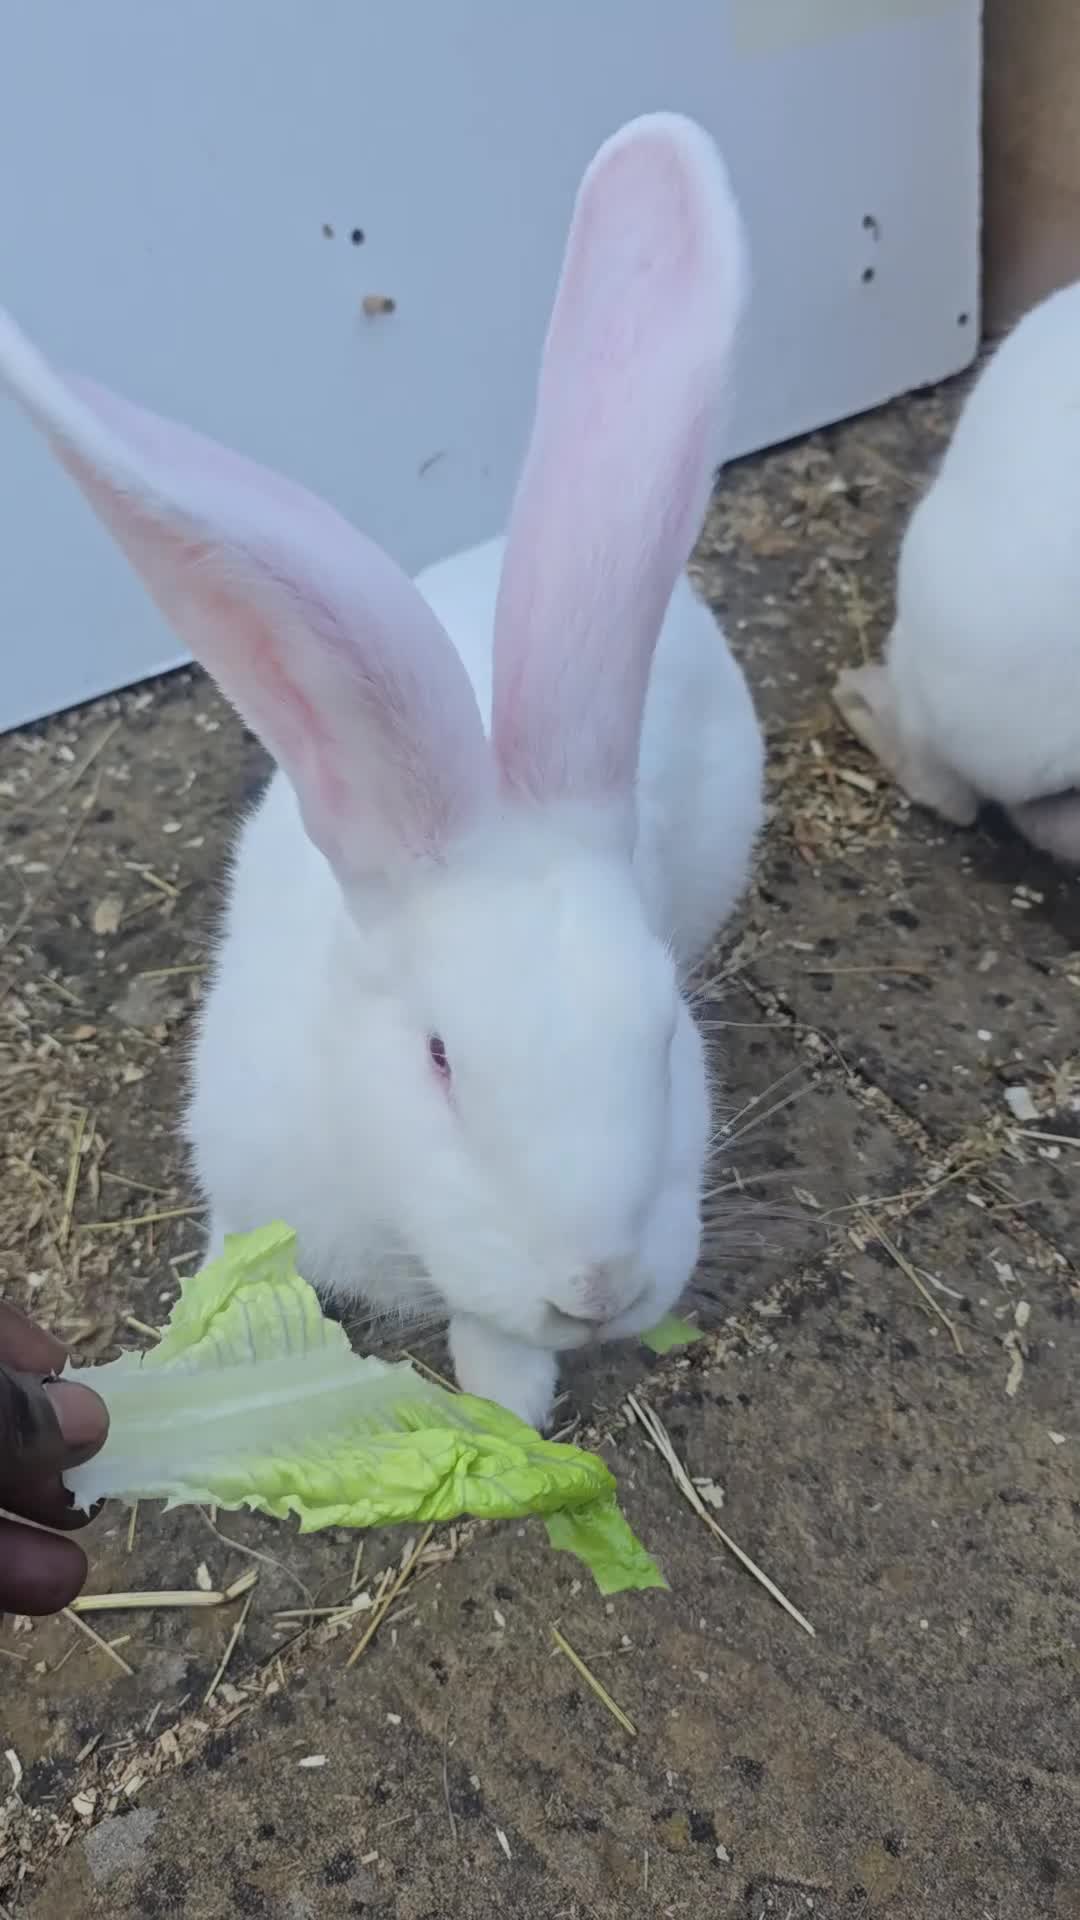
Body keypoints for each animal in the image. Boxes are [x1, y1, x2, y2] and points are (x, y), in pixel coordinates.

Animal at [0, 111, 763, 1430]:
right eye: (440, 1059)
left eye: (669, 1037)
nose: (598, 1286)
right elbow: (235, 1249)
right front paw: (202, 1346)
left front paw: (509, 1399)